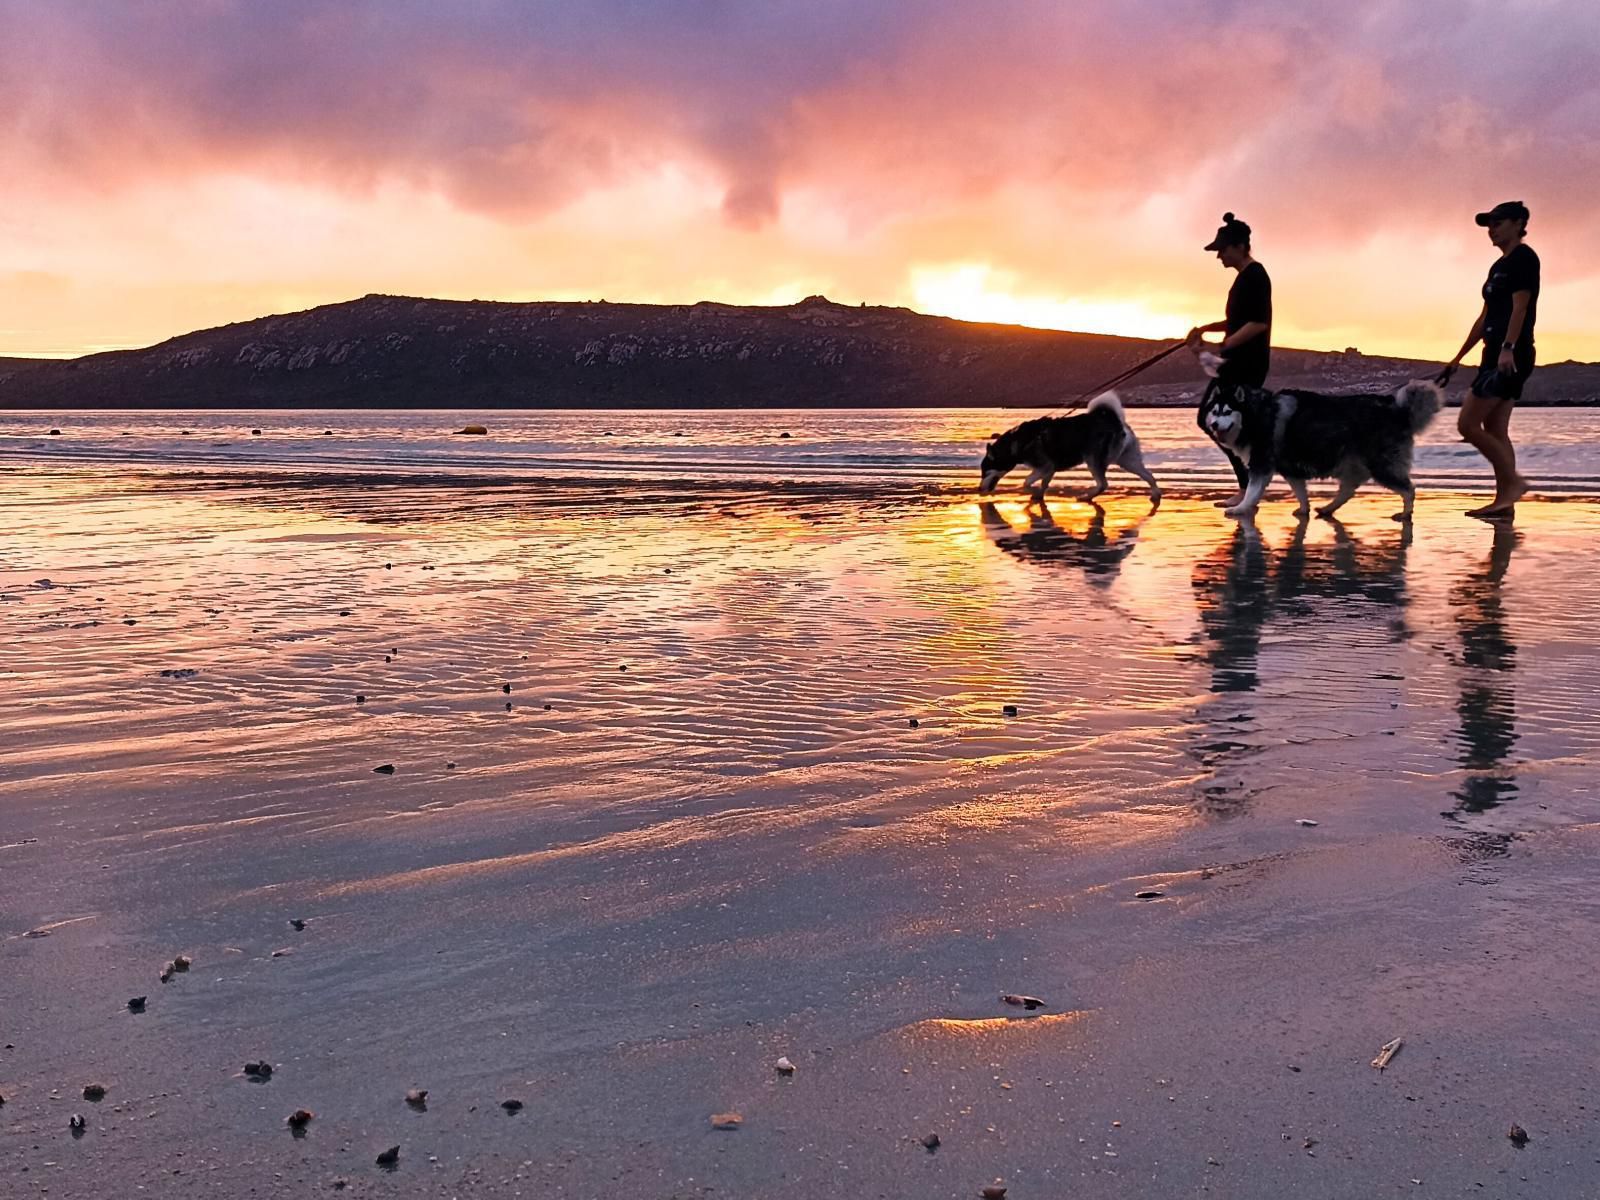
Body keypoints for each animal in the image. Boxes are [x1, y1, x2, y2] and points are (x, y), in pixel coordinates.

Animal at [972, 392, 1164, 505]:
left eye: (985, 471)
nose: (979, 489)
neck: (1019, 441)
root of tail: (1115, 421)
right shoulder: (1048, 469)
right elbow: (1043, 484)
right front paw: (1038, 496)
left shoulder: (1044, 466)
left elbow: (1026, 482)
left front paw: (1032, 491)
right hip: (1127, 461)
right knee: (1149, 475)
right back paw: (1156, 494)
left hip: (1093, 460)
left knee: (1103, 484)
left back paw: (1087, 496)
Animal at [1196, 377, 1446, 524]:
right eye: (1215, 412)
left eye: (1228, 412)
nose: (1214, 425)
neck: (1257, 414)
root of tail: (1398, 411)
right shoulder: (1290, 468)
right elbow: (1300, 492)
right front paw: (1303, 508)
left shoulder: (1262, 464)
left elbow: (1252, 491)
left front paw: (1241, 508)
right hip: (1353, 464)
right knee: (1348, 490)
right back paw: (1327, 508)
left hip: (1381, 466)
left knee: (1409, 489)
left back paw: (1406, 513)